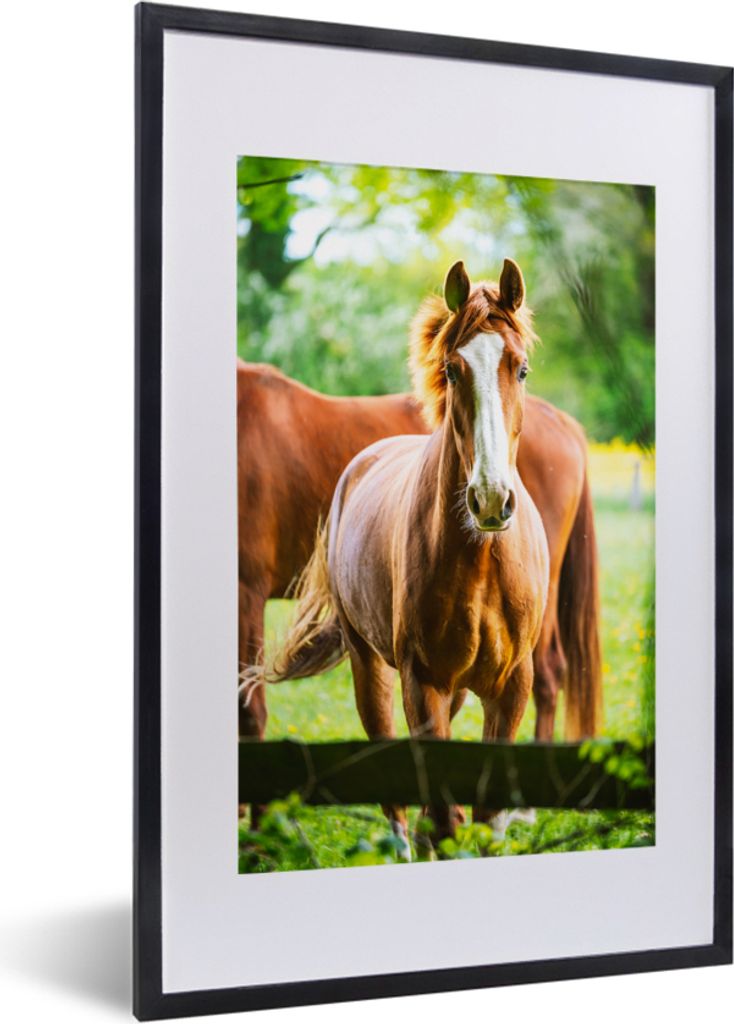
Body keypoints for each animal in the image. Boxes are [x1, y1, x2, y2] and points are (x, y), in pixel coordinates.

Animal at [266, 259, 563, 847]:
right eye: (451, 370)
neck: (482, 562)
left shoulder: (509, 686)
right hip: (371, 668)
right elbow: (444, 817)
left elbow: (484, 818)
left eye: (520, 369)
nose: (490, 498)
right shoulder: (422, 681)